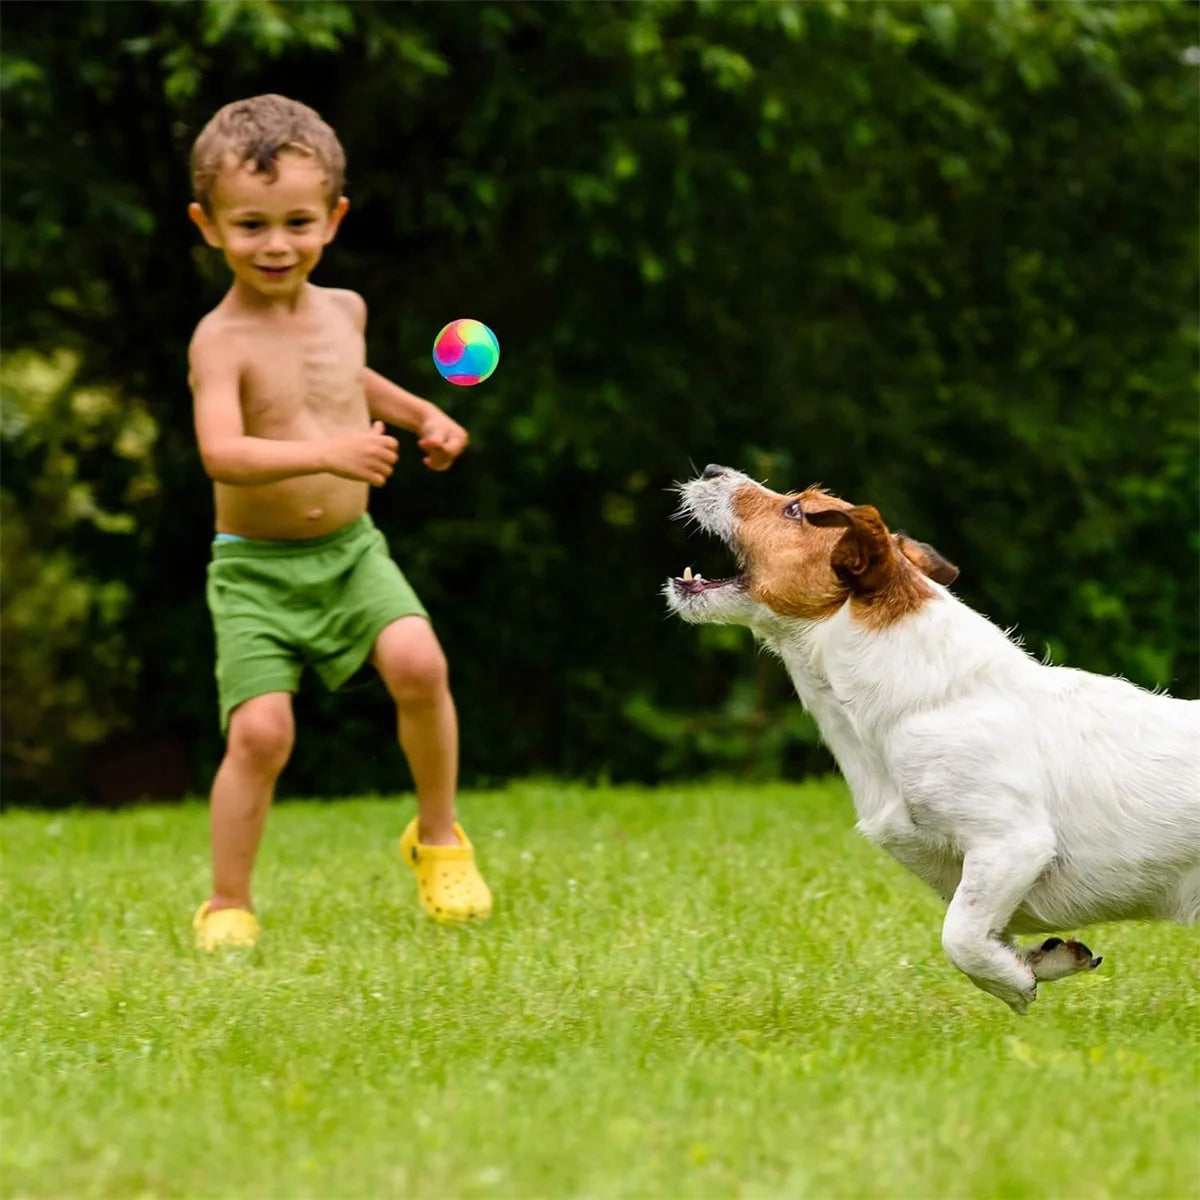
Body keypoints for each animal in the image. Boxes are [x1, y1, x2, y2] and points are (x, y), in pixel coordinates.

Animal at [667, 465, 1200, 1012]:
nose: (711, 470)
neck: (921, 699)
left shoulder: (1011, 845)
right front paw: (1044, 960)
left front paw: (1013, 982)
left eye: (795, 510)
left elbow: (959, 938)